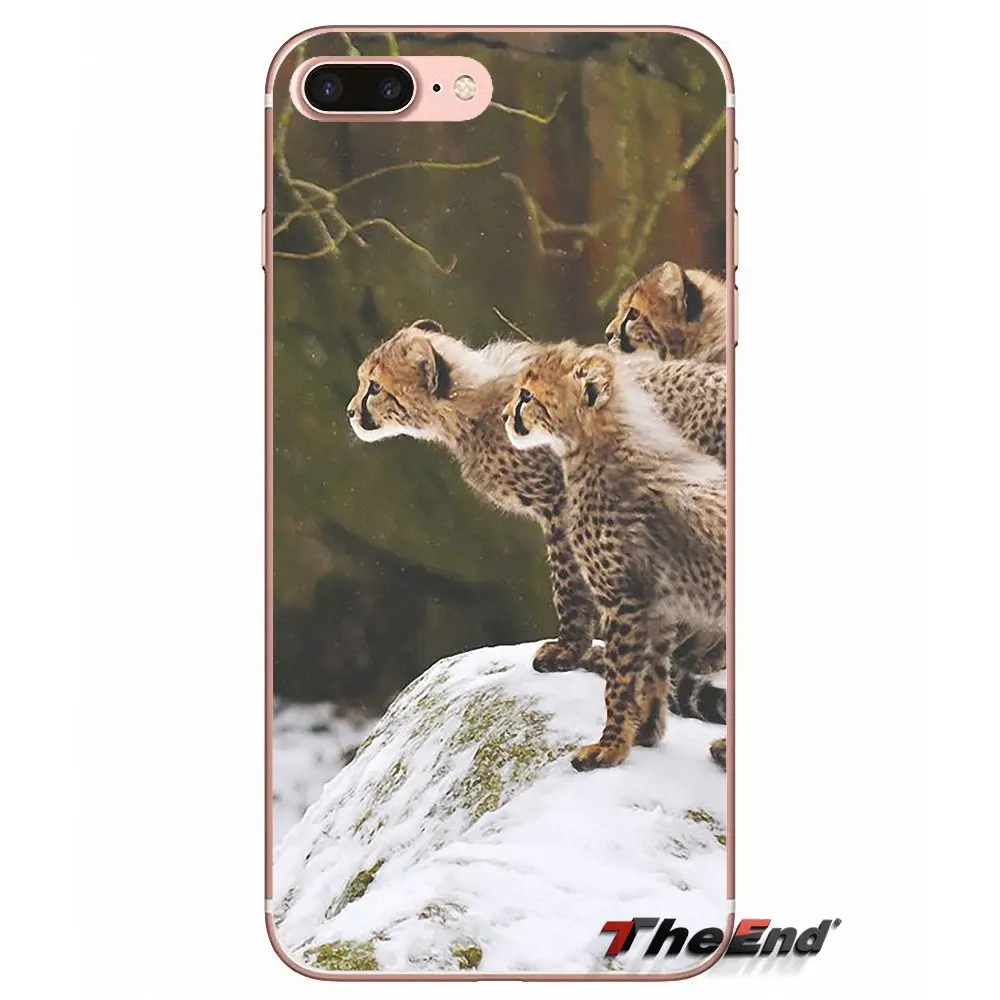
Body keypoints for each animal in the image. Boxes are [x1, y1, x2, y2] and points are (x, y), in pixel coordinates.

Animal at [347, 321, 726, 726]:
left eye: (374, 386)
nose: (351, 412)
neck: (466, 411)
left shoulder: (562, 504)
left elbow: (568, 584)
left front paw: (568, 649)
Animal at [503, 341, 727, 771]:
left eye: (526, 395)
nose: (505, 415)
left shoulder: (624, 600)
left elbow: (619, 681)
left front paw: (608, 747)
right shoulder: (656, 604)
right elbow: (652, 675)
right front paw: (643, 734)